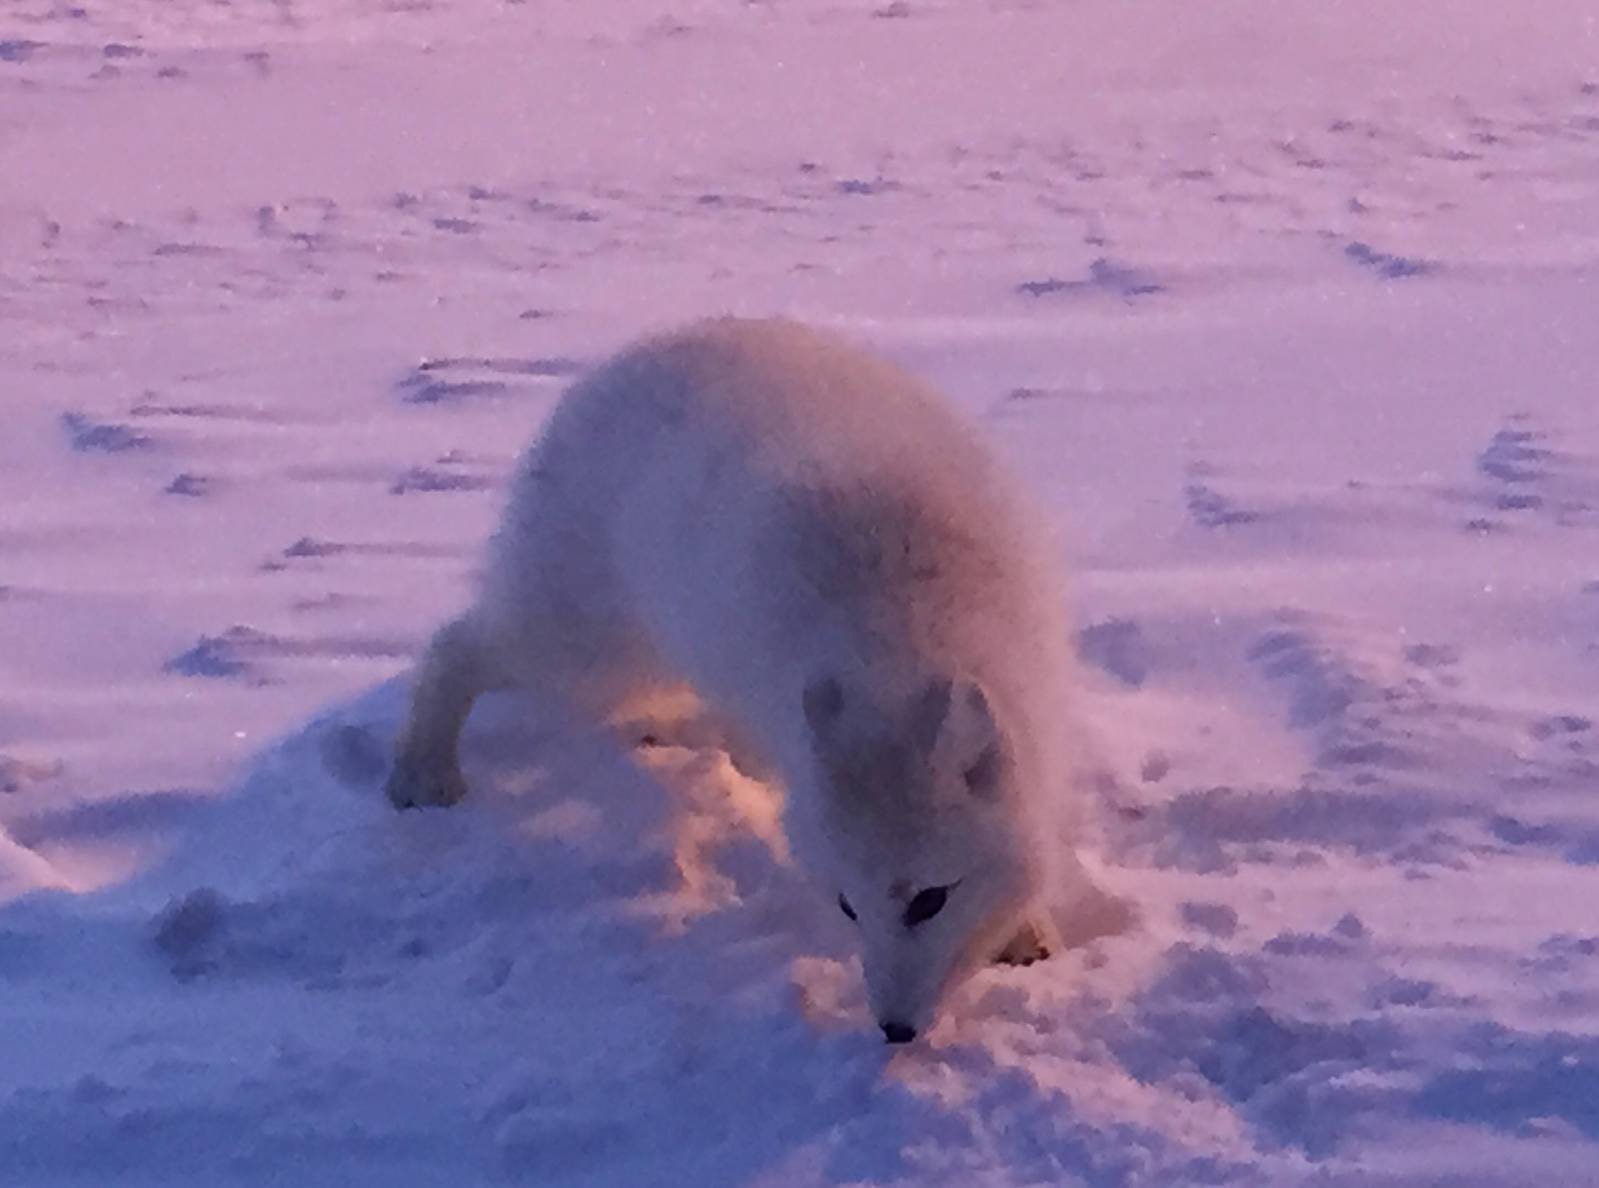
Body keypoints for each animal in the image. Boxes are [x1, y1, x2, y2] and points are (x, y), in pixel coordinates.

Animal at [387, 317, 1118, 1043]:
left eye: (930, 900)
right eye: (847, 906)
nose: (894, 1030)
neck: (899, 637)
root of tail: (606, 371)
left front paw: (1025, 932)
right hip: (585, 655)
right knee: (455, 644)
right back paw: (423, 772)